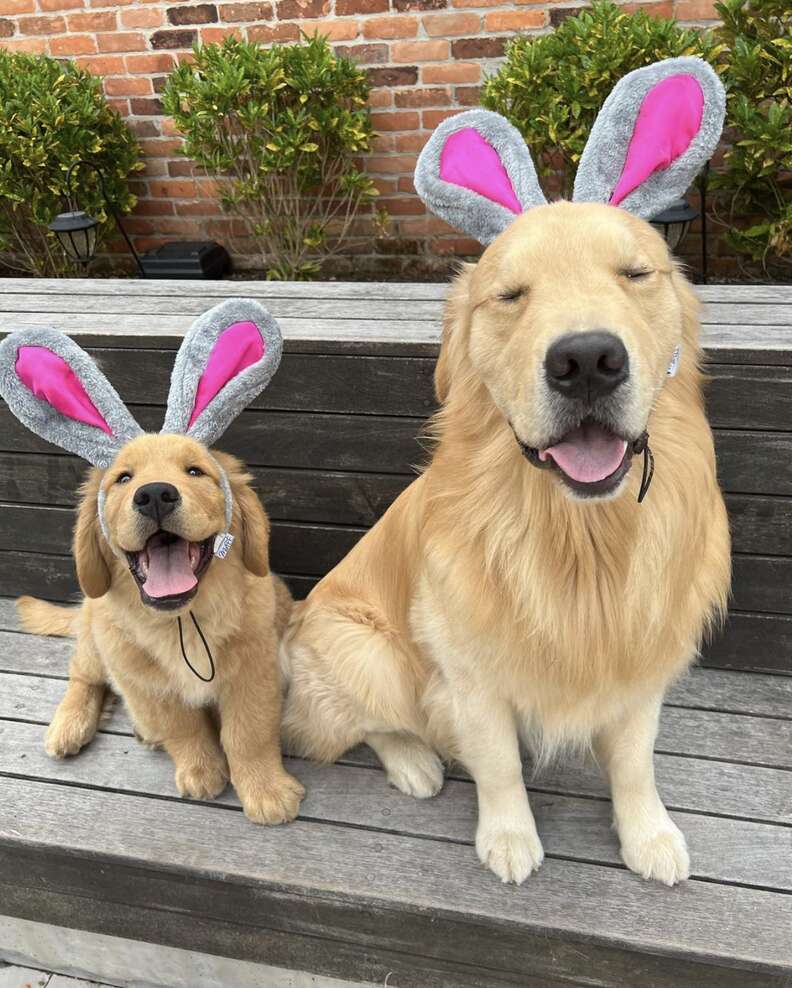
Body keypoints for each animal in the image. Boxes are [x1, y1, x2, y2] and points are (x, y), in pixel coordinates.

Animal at [19, 438, 304, 824]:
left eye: (195, 471)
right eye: (123, 478)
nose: (154, 494)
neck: (182, 622)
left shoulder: (254, 672)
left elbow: (248, 732)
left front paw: (266, 790)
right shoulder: (152, 684)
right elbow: (182, 727)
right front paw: (201, 771)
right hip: (98, 638)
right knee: (84, 676)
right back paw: (70, 725)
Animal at [284, 63, 732, 888]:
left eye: (635, 273)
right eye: (510, 294)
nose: (587, 359)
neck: (581, 537)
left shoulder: (640, 656)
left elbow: (636, 761)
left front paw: (648, 834)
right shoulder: (469, 667)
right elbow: (496, 763)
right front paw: (509, 836)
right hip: (366, 650)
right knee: (356, 726)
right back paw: (414, 762)